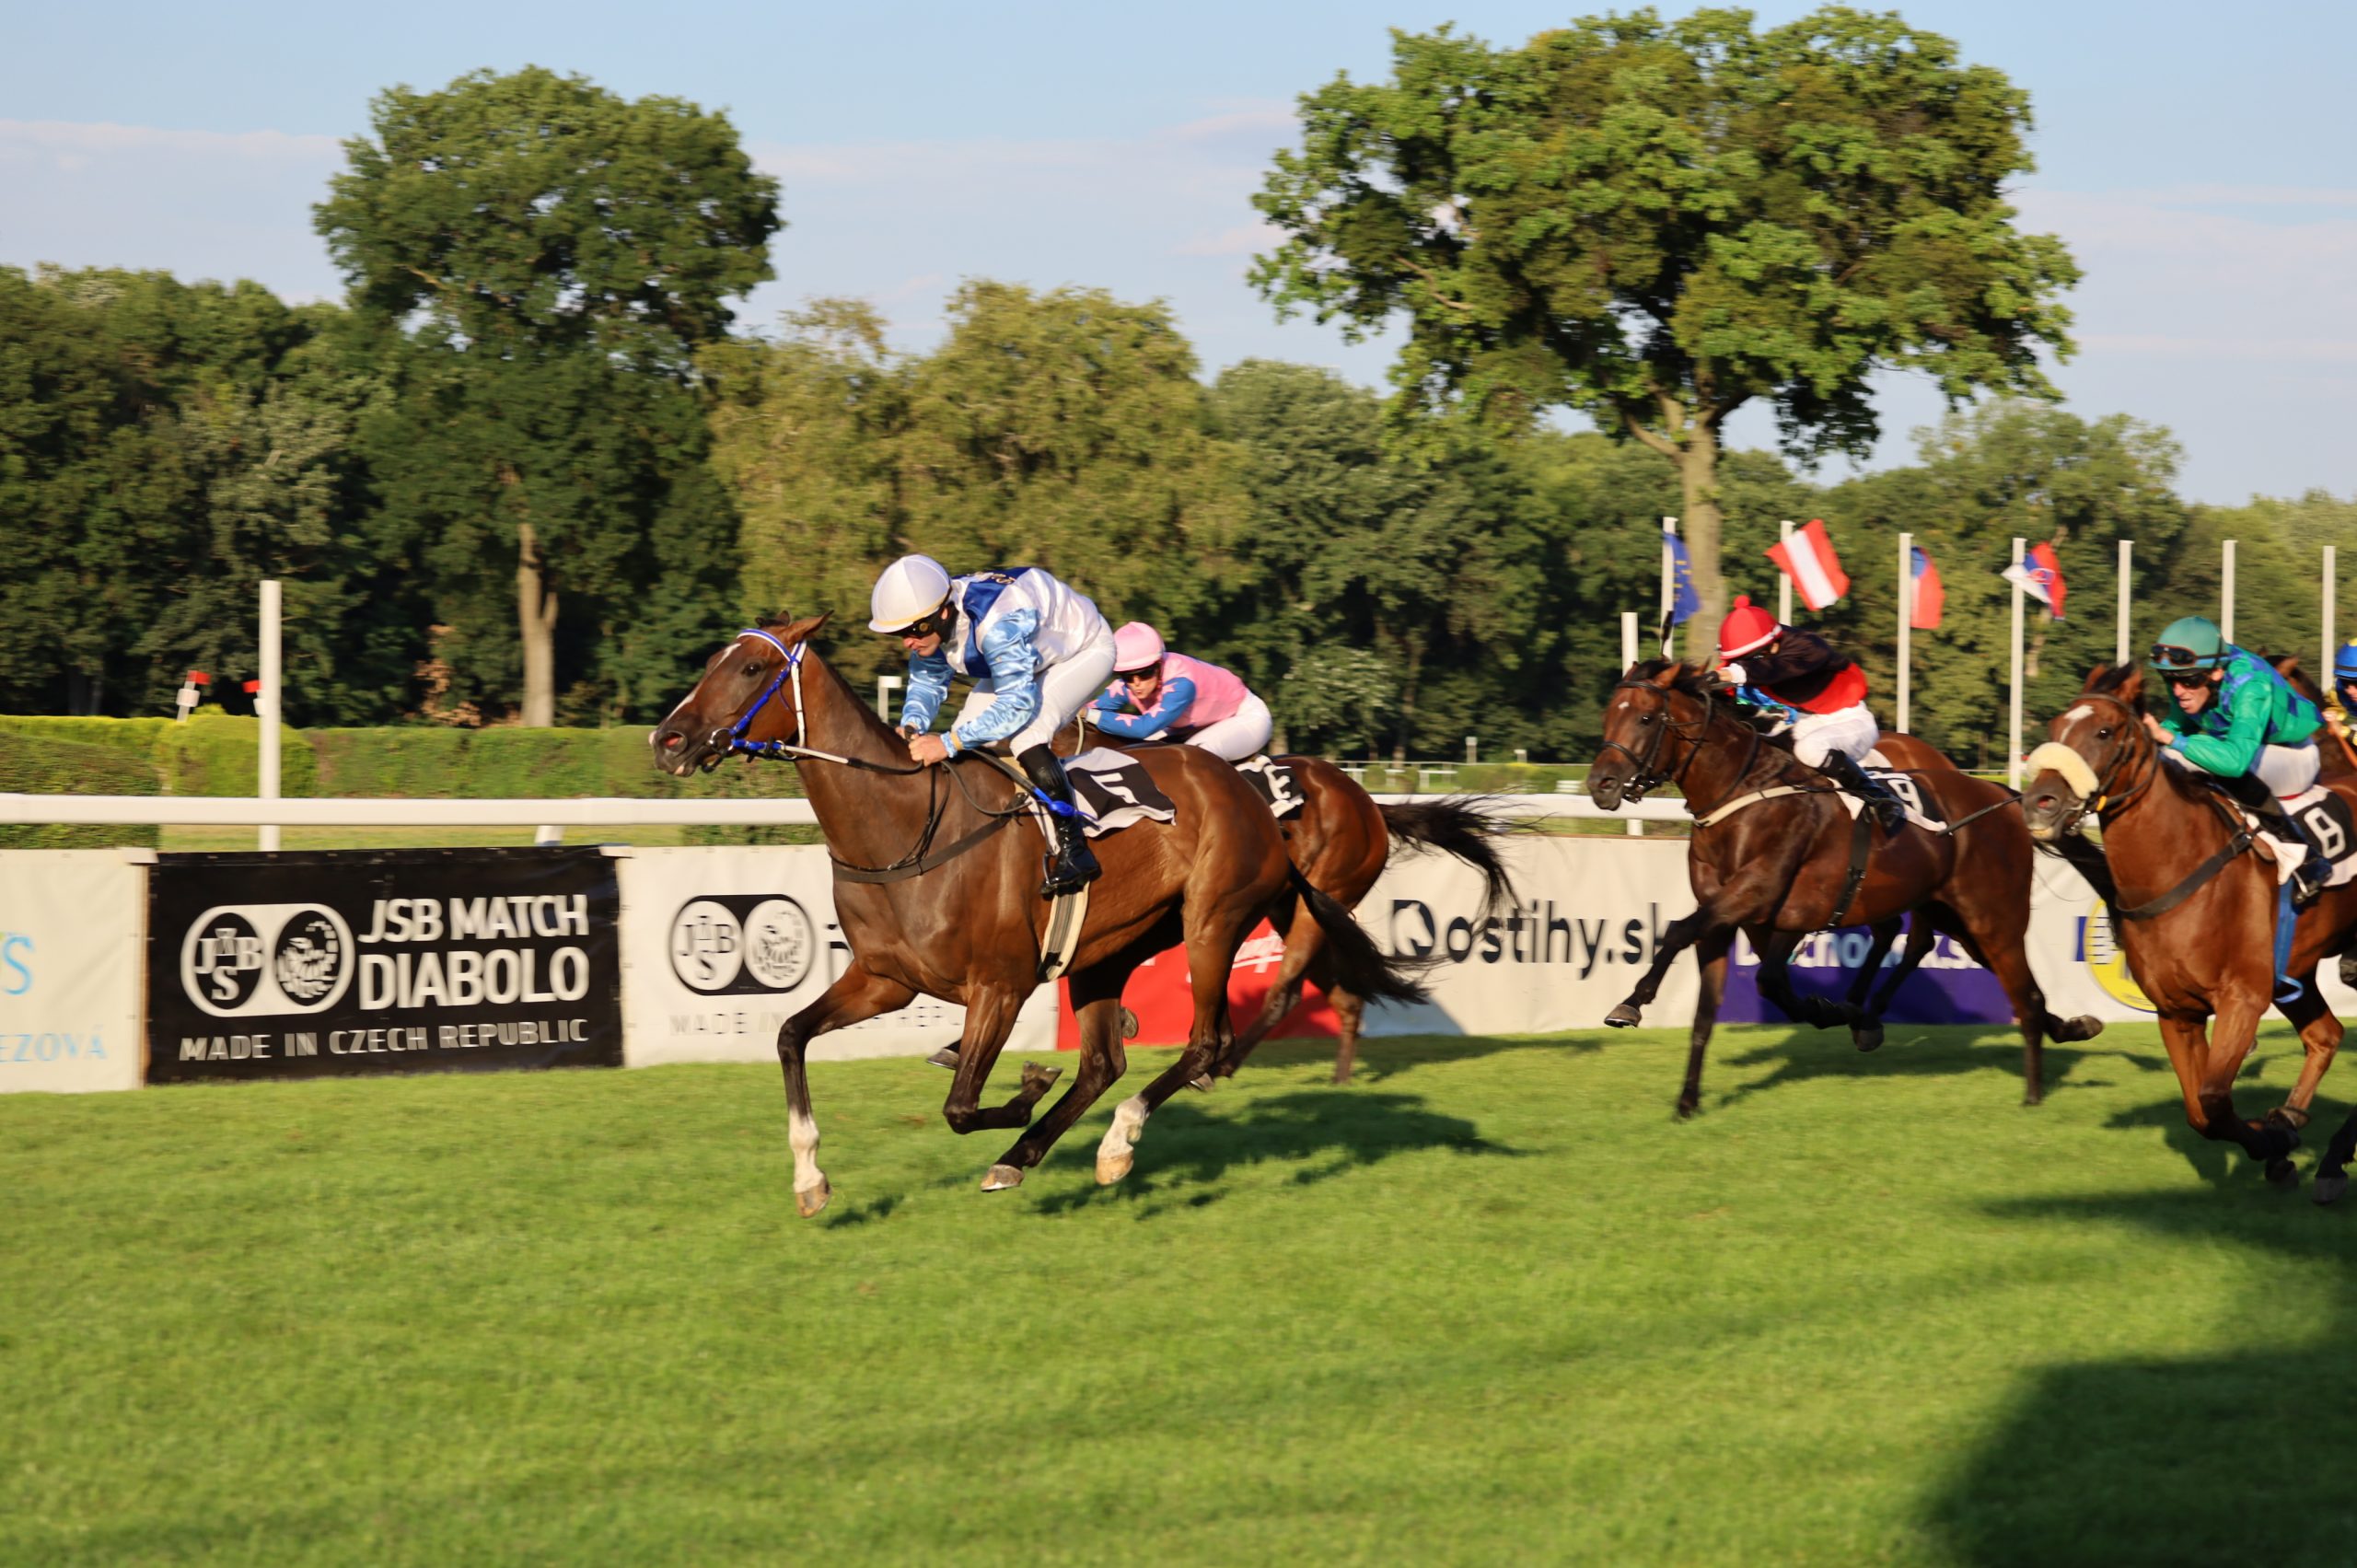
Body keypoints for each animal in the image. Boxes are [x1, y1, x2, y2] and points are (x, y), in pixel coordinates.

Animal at [645, 612, 1423, 1207]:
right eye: (714, 661)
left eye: (750, 669)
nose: (667, 739)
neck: (904, 826)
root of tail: (1254, 794)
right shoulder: (885, 979)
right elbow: (789, 1035)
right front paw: (810, 1176)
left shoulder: (1001, 983)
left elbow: (961, 1105)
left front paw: (1022, 1087)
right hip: (1114, 946)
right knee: (1105, 1062)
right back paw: (1023, 1154)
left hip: (1215, 917)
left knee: (1208, 1039)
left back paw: (1118, 1139)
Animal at [1584, 655, 2102, 1112]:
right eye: (1609, 716)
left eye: (1645, 718)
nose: (1600, 785)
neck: (1742, 790)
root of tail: (2003, 795)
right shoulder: (1745, 918)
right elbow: (1722, 1006)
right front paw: (1688, 1101)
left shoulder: (1755, 893)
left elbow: (1678, 932)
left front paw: (1630, 1003)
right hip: (1955, 916)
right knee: (1979, 968)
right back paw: (2068, 1028)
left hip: (1994, 916)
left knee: (2018, 989)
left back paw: (2033, 1088)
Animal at [2017, 655, 2357, 1188]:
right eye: (2054, 728)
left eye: (2104, 730)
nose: (2038, 803)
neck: (2180, 867)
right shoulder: (2177, 1011)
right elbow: (2200, 1113)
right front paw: (2277, 1141)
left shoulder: (2242, 998)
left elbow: (2215, 1100)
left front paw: (2273, 1143)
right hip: (2295, 974)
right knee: (2325, 1036)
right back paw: (2299, 1122)